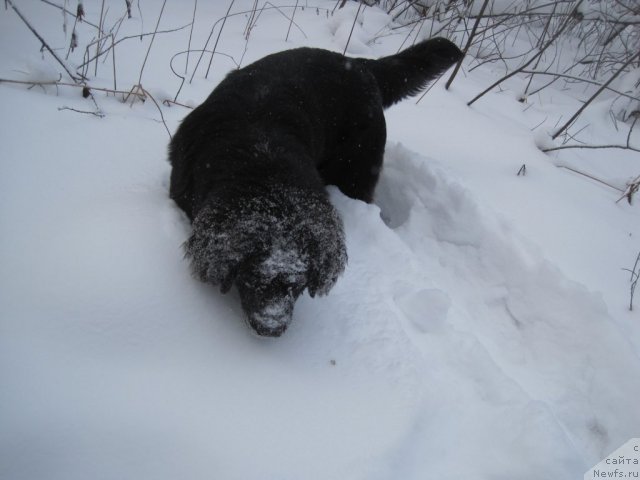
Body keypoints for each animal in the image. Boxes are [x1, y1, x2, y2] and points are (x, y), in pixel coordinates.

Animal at [168, 38, 462, 338]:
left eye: (297, 285)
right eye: (252, 277)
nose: (272, 326)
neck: (261, 158)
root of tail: (362, 65)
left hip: (356, 169)